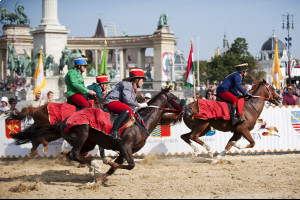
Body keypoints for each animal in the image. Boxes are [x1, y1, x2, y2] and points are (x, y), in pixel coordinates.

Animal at [10, 85, 184, 184]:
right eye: (174, 97)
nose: (185, 109)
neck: (141, 122)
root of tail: (62, 121)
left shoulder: (127, 150)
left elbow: (118, 168)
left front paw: (98, 179)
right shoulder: (125, 145)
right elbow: (130, 165)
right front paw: (106, 161)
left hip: (88, 141)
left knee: (71, 154)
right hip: (83, 132)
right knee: (73, 153)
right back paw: (94, 163)